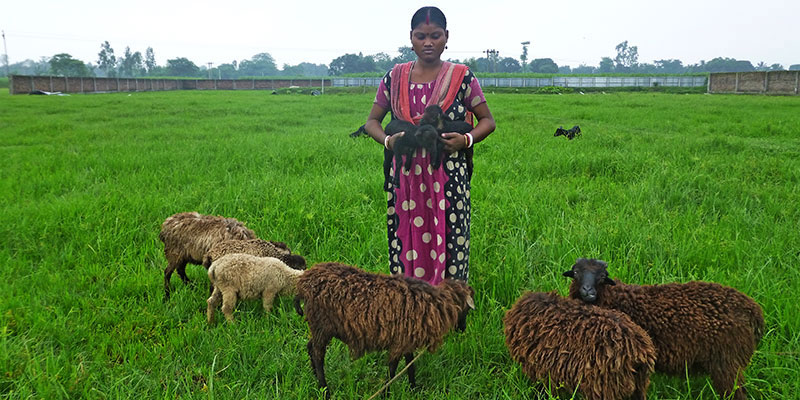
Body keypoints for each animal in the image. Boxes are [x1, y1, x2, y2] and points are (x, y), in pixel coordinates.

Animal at [293, 262, 474, 398]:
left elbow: (410, 365)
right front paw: (386, 393)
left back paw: (316, 379)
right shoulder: (399, 342)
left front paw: (414, 389)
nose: (462, 329)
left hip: (320, 327)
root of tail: (303, 283)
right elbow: (392, 370)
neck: (437, 304)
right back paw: (325, 390)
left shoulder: (406, 338)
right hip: (322, 325)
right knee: (318, 354)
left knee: (310, 347)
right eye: (466, 309)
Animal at [564, 258, 765, 400]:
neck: (616, 297)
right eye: (576, 272)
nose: (587, 291)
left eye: (602, 276)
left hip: (727, 362)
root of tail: (754, 312)